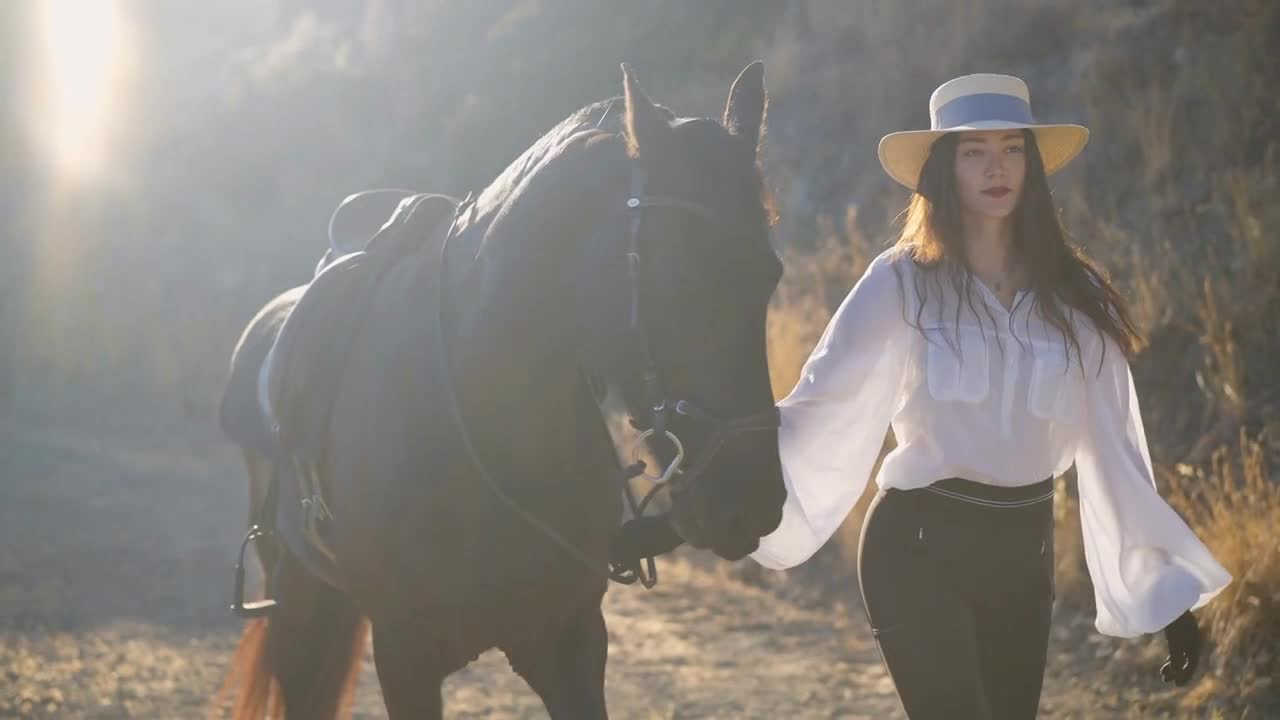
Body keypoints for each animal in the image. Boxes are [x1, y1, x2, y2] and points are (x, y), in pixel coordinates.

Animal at [215, 64, 783, 712]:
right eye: (677, 277)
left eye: (770, 276)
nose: (753, 502)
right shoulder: (405, 658)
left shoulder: (568, 643)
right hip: (299, 596)